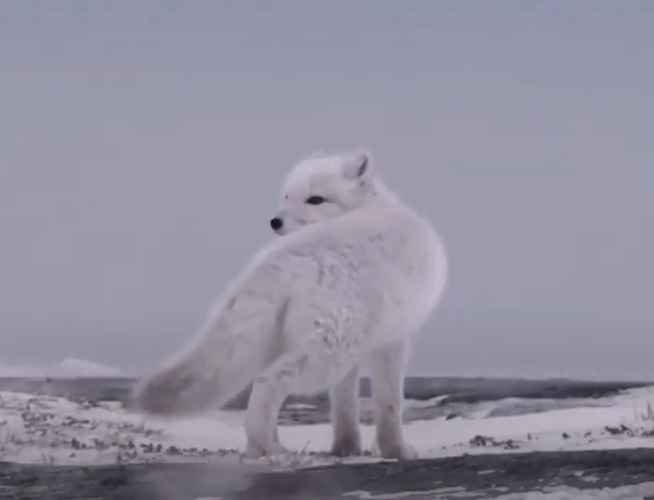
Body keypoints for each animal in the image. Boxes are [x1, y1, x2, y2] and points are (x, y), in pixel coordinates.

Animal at [130, 149, 448, 460]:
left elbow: (344, 403)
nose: (275, 222)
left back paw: (269, 445)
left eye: (315, 198)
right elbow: (389, 401)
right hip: (324, 349)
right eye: (287, 196)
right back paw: (264, 447)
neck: (373, 204)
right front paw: (397, 450)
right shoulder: (394, 340)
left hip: (288, 339)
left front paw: (346, 448)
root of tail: (279, 263)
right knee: (268, 381)